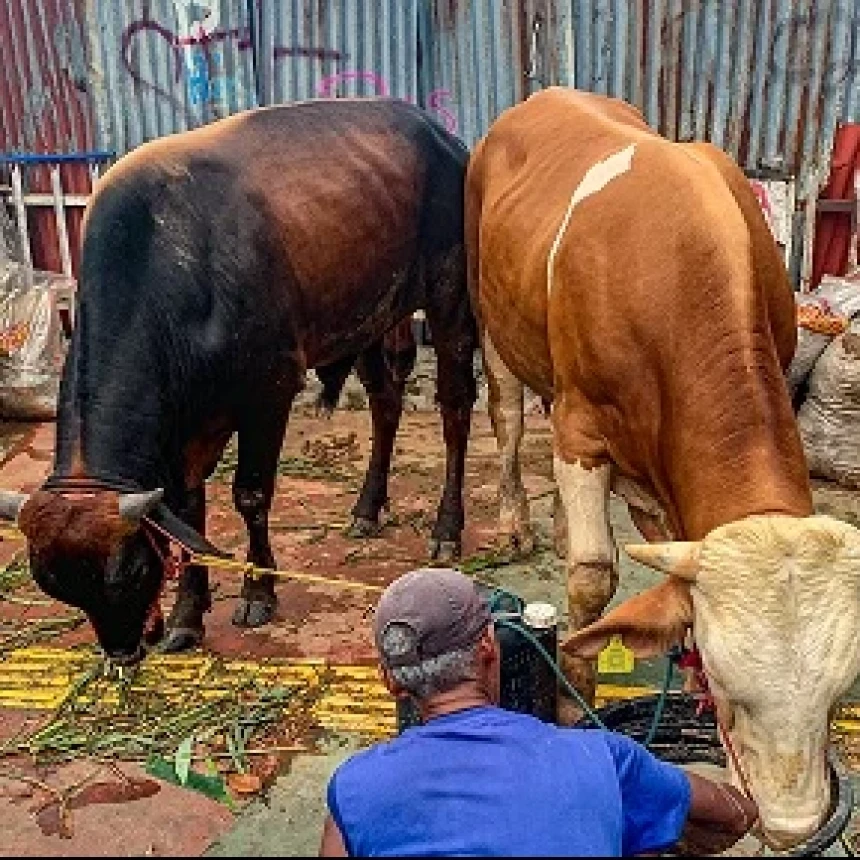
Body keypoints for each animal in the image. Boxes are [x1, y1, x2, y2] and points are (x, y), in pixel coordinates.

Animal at [466, 85, 860, 848]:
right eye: (732, 692)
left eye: (837, 696)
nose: (794, 828)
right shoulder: (580, 425)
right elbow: (594, 574)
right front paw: (577, 696)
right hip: (490, 322)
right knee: (506, 419)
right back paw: (516, 525)